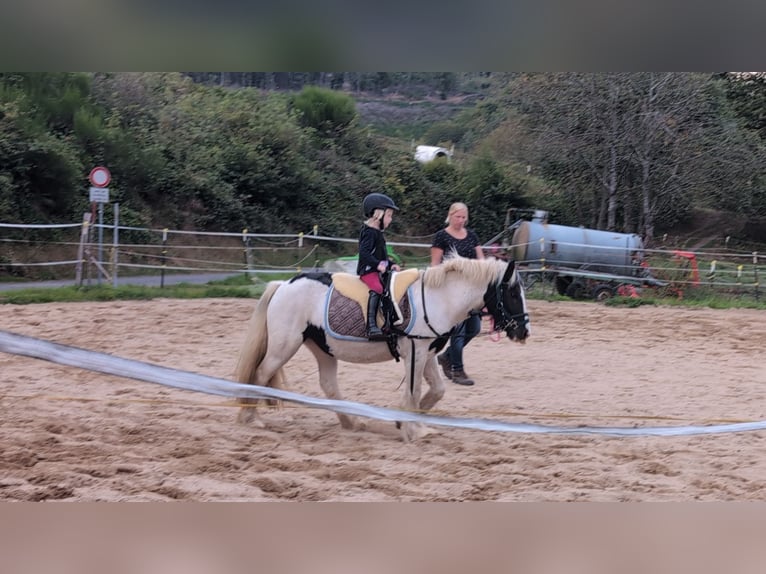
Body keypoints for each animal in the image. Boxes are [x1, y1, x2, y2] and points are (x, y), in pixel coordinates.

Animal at [237, 255, 532, 440]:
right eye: (512, 293)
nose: (524, 331)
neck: (438, 299)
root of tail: (283, 285)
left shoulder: (427, 354)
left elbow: (436, 391)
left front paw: (407, 422)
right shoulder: (416, 352)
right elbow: (414, 391)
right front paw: (413, 430)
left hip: (323, 348)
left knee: (328, 385)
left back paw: (352, 423)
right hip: (284, 346)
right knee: (261, 374)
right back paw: (250, 418)